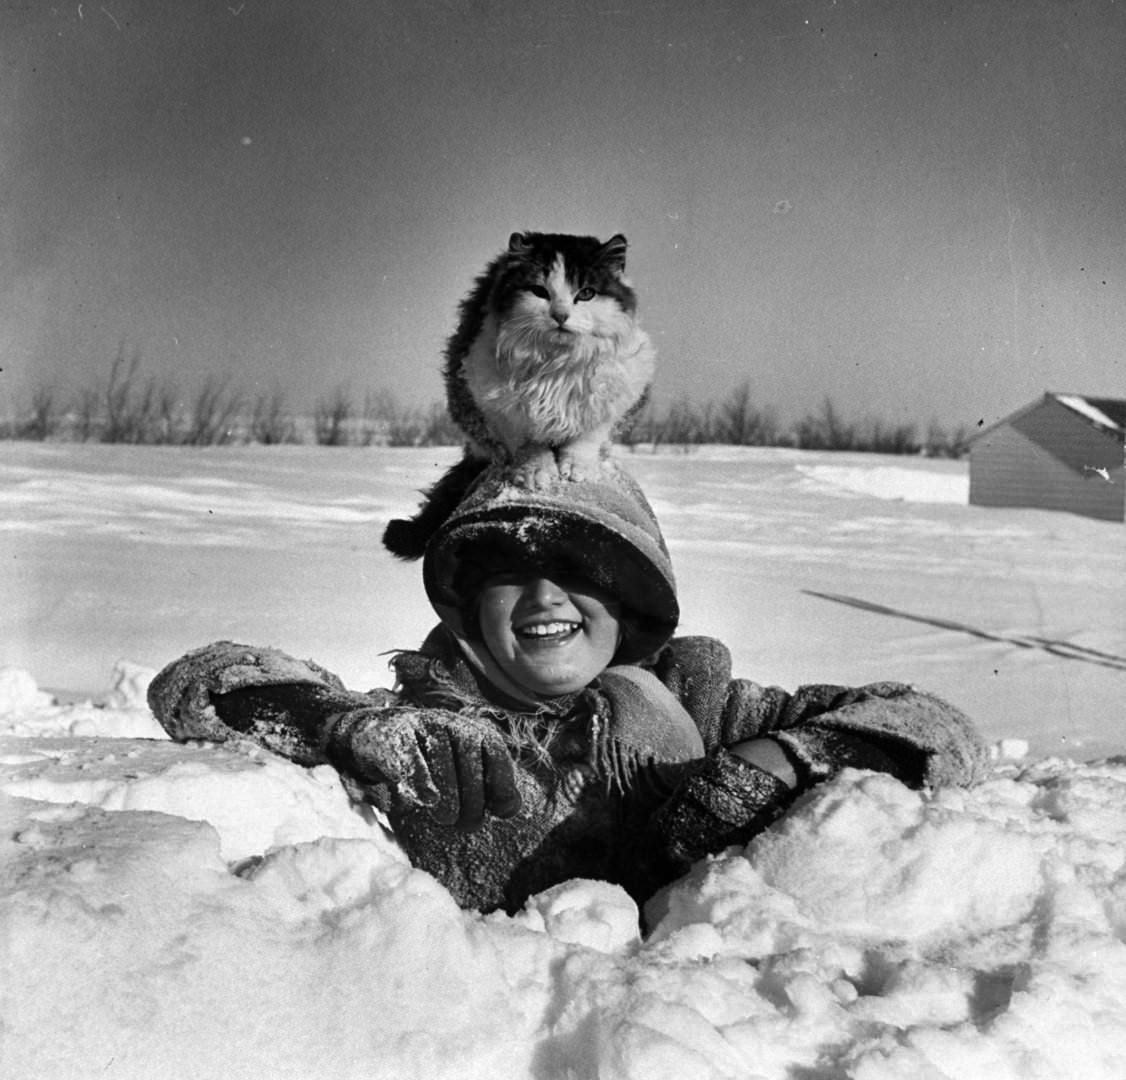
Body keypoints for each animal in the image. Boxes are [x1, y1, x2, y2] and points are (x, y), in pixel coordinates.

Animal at [382, 231, 657, 560]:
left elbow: (587, 437)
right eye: (540, 292)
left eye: (586, 293)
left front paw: (577, 469)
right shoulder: (496, 401)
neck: (556, 364)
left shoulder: (617, 394)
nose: (560, 315)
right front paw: (538, 472)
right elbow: (528, 443)